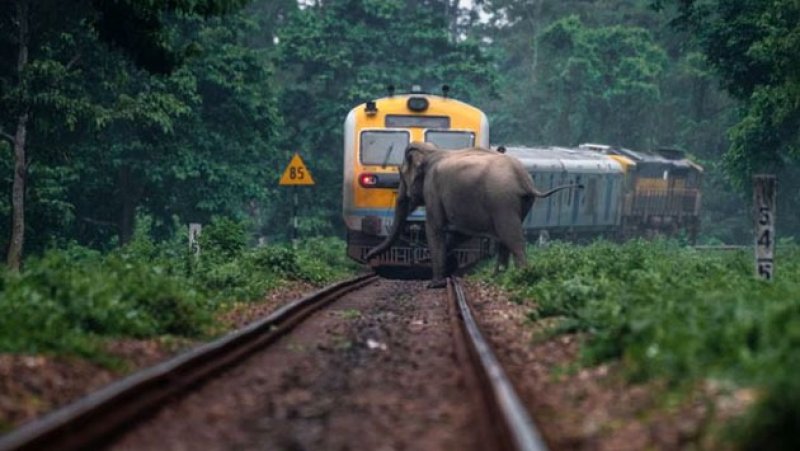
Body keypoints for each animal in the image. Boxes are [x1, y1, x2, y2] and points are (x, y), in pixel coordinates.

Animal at [365, 141, 582, 288]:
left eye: (401, 175)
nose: (368, 257)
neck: (433, 150)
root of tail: (525, 179)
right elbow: (459, 234)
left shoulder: (433, 189)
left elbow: (434, 228)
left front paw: (434, 284)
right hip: (521, 203)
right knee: (507, 238)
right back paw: (498, 277)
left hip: (502, 200)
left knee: (512, 237)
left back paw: (522, 278)